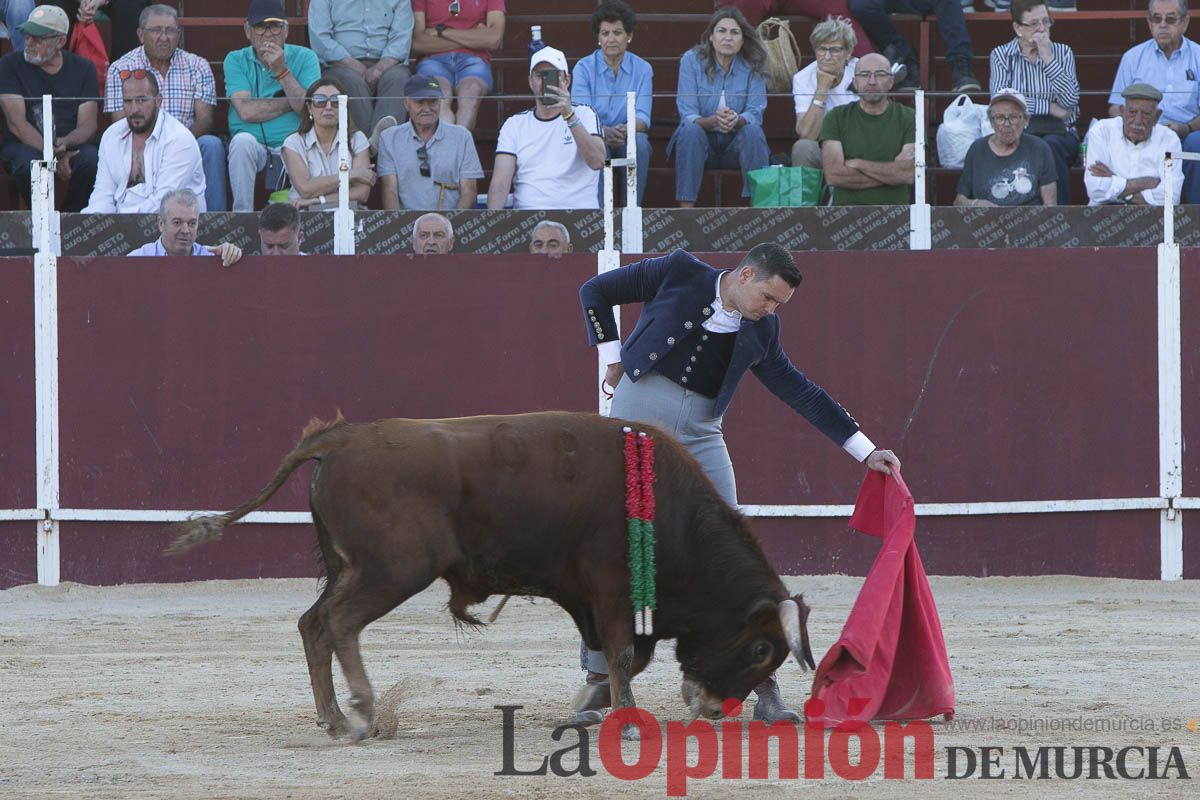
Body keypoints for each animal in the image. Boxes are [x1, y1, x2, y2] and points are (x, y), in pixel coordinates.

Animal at [169, 412, 816, 738]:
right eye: (761, 648)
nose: (716, 709)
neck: (668, 509)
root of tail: (338, 439)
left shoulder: (588, 595)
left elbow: (620, 656)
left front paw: (597, 708)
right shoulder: (609, 584)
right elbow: (621, 652)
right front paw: (627, 721)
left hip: (345, 566)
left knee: (313, 623)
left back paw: (332, 717)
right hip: (393, 569)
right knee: (339, 621)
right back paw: (365, 712)